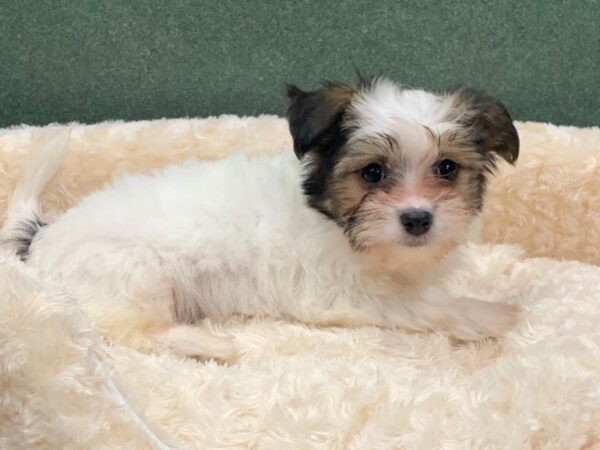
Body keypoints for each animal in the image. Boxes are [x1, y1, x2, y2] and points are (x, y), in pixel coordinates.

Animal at [2, 76, 520, 358]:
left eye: (446, 169)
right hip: (133, 273)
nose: (417, 219)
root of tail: (43, 238)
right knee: (124, 332)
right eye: (372, 173)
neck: (330, 219)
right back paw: (206, 344)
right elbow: (435, 305)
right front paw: (498, 315)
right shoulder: (351, 292)